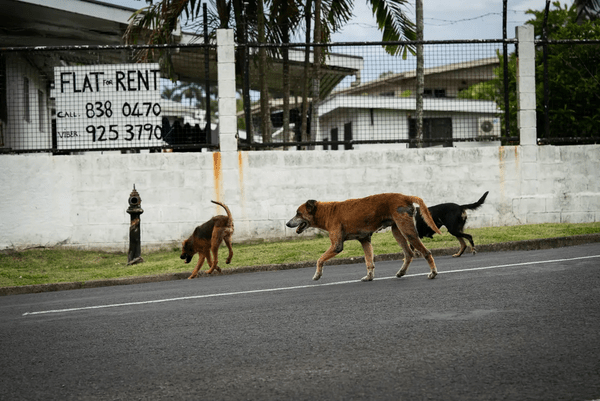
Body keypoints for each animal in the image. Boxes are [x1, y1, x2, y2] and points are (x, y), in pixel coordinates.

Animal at [286, 191, 440, 280]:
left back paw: (433, 273)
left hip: (408, 232)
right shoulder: (365, 240)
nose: (287, 223)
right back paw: (402, 272)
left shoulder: (336, 246)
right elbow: (369, 261)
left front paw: (317, 274)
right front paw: (369, 277)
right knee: (408, 253)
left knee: (426, 252)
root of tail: (406, 196)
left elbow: (319, 260)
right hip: (397, 231)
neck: (327, 212)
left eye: (298, 213)